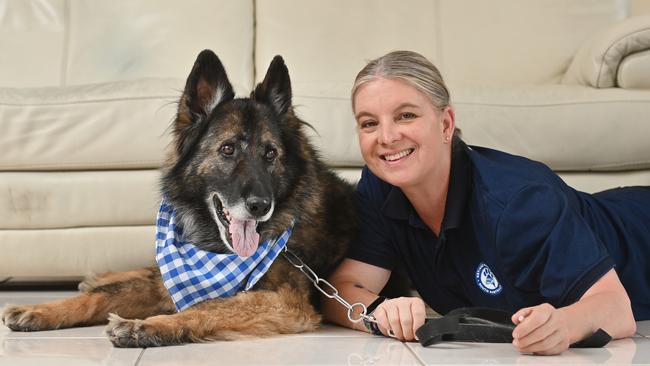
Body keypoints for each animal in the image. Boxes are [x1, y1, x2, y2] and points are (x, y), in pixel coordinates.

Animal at [0, 50, 354, 348]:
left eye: (271, 154)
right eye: (228, 149)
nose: (260, 206)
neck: (215, 251)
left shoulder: (285, 302)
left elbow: (210, 305)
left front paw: (146, 326)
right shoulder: (169, 281)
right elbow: (103, 295)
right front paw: (42, 310)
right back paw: (99, 276)